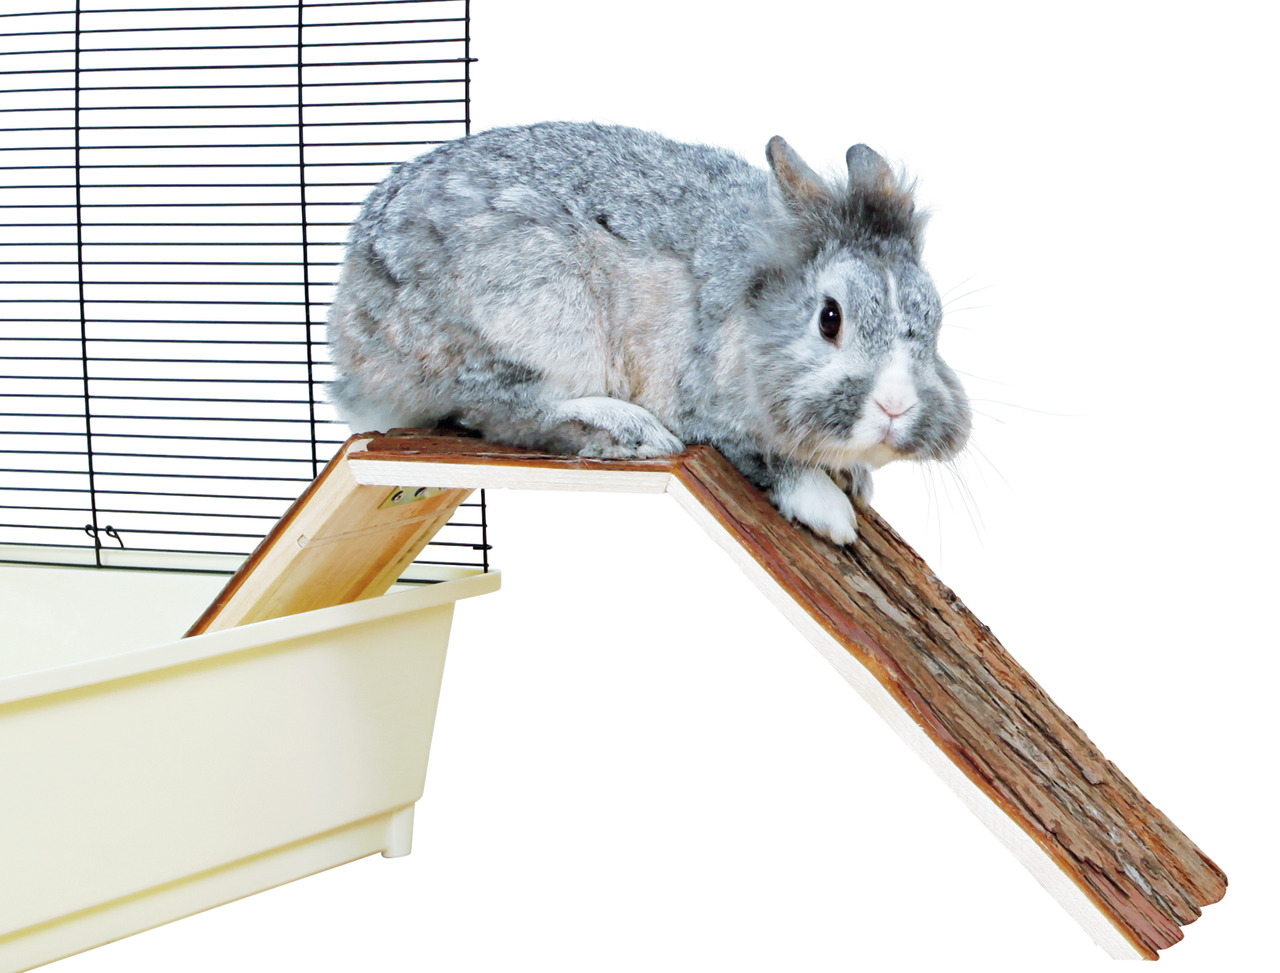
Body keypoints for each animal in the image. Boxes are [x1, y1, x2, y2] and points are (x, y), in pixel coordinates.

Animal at [326, 121, 971, 544]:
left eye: (935, 321)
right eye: (829, 318)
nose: (896, 407)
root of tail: (354, 329)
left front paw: (855, 478)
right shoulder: (703, 409)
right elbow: (759, 455)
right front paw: (830, 512)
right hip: (540, 312)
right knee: (504, 411)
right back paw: (629, 431)